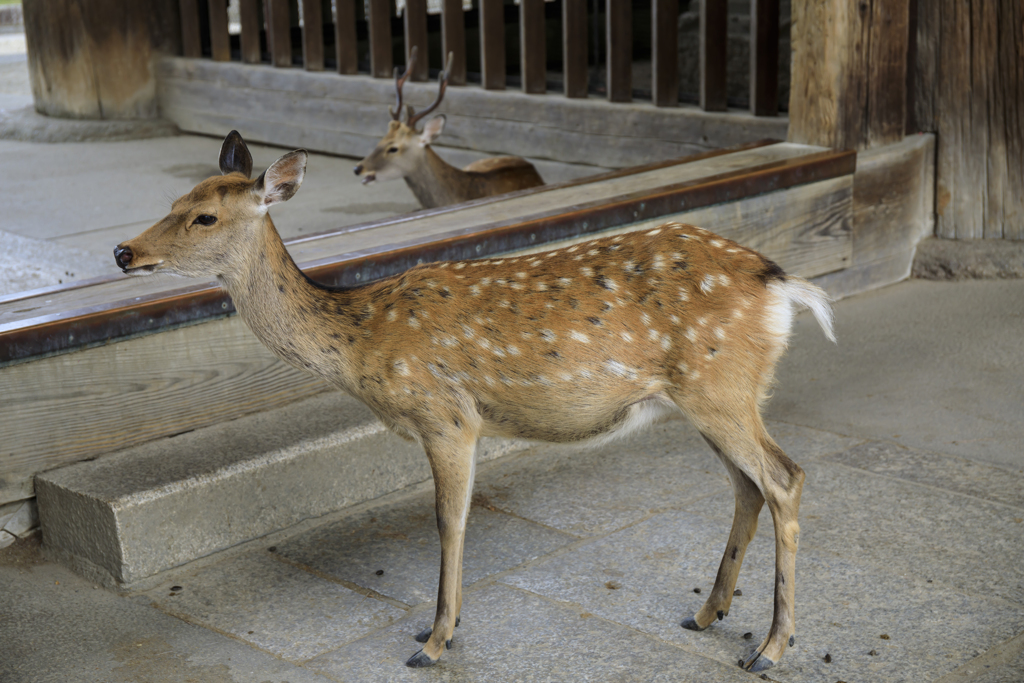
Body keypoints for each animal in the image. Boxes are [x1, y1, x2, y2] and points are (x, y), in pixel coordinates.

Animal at [114, 129, 831, 671]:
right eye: (175, 199)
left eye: (204, 215)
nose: (123, 250)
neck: (361, 342)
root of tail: (782, 285)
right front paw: (435, 631)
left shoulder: (448, 417)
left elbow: (449, 521)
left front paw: (434, 640)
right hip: (714, 395)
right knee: (747, 485)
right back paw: (708, 612)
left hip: (719, 386)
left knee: (785, 476)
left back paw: (770, 648)